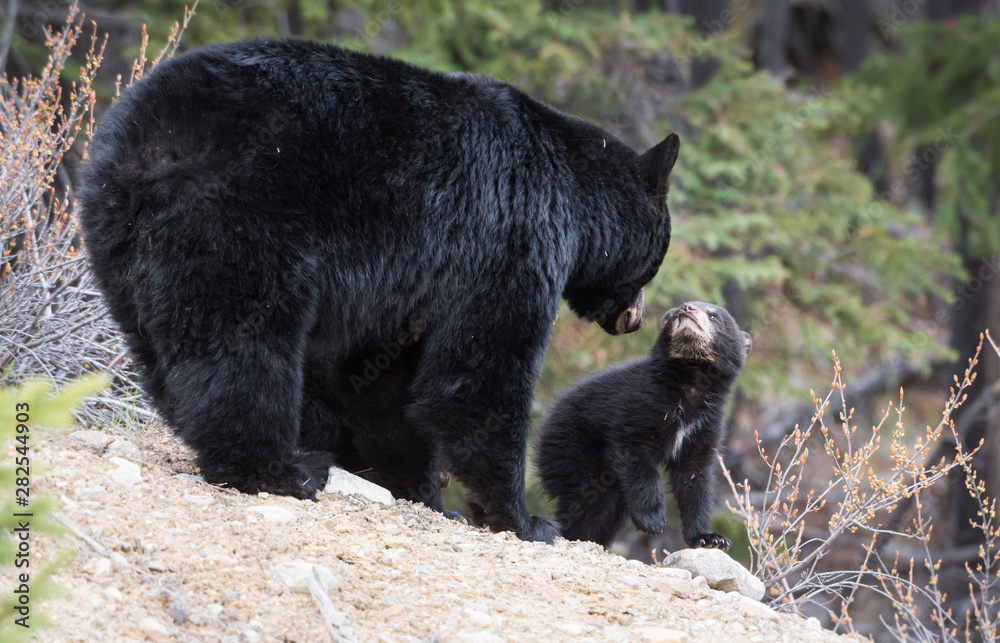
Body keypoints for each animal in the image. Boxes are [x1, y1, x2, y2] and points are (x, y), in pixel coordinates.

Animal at [79, 38, 678, 543]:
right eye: (657, 258)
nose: (636, 317)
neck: (575, 193)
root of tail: (143, 139)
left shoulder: (407, 290)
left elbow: (380, 383)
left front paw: (424, 493)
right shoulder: (514, 235)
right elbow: (482, 373)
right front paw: (524, 518)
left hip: (121, 240)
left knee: (163, 351)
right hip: (242, 213)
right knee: (242, 341)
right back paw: (281, 469)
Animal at [536, 302, 751, 549]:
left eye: (714, 316)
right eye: (676, 311)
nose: (687, 308)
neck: (691, 383)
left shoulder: (705, 426)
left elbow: (694, 479)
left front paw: (710, 538)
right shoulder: (642, 404)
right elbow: (636, 457)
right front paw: (653, 520)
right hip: (575, 449)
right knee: (588, 499)